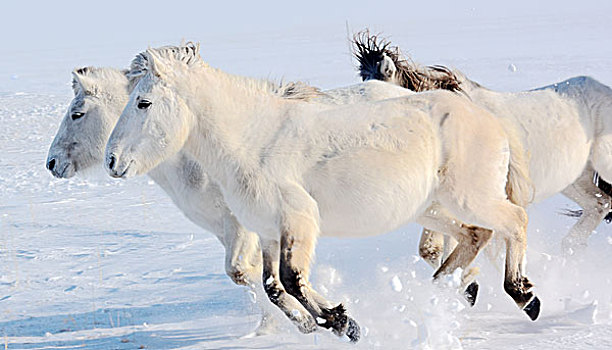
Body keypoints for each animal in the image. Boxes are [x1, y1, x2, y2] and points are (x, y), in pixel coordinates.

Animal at [104, 42, 540, 340]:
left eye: (143, 102)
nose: (111, 160)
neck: (253, 140)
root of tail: (489, 119)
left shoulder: (298, 221)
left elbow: (292, 278)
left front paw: (343, 320)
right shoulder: (266, 231)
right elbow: (272, 286)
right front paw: (329, 322)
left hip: (469, 198)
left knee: (513, 221)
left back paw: (523, 295)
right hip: (431, 208)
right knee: (475, 235)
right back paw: (442, 291)